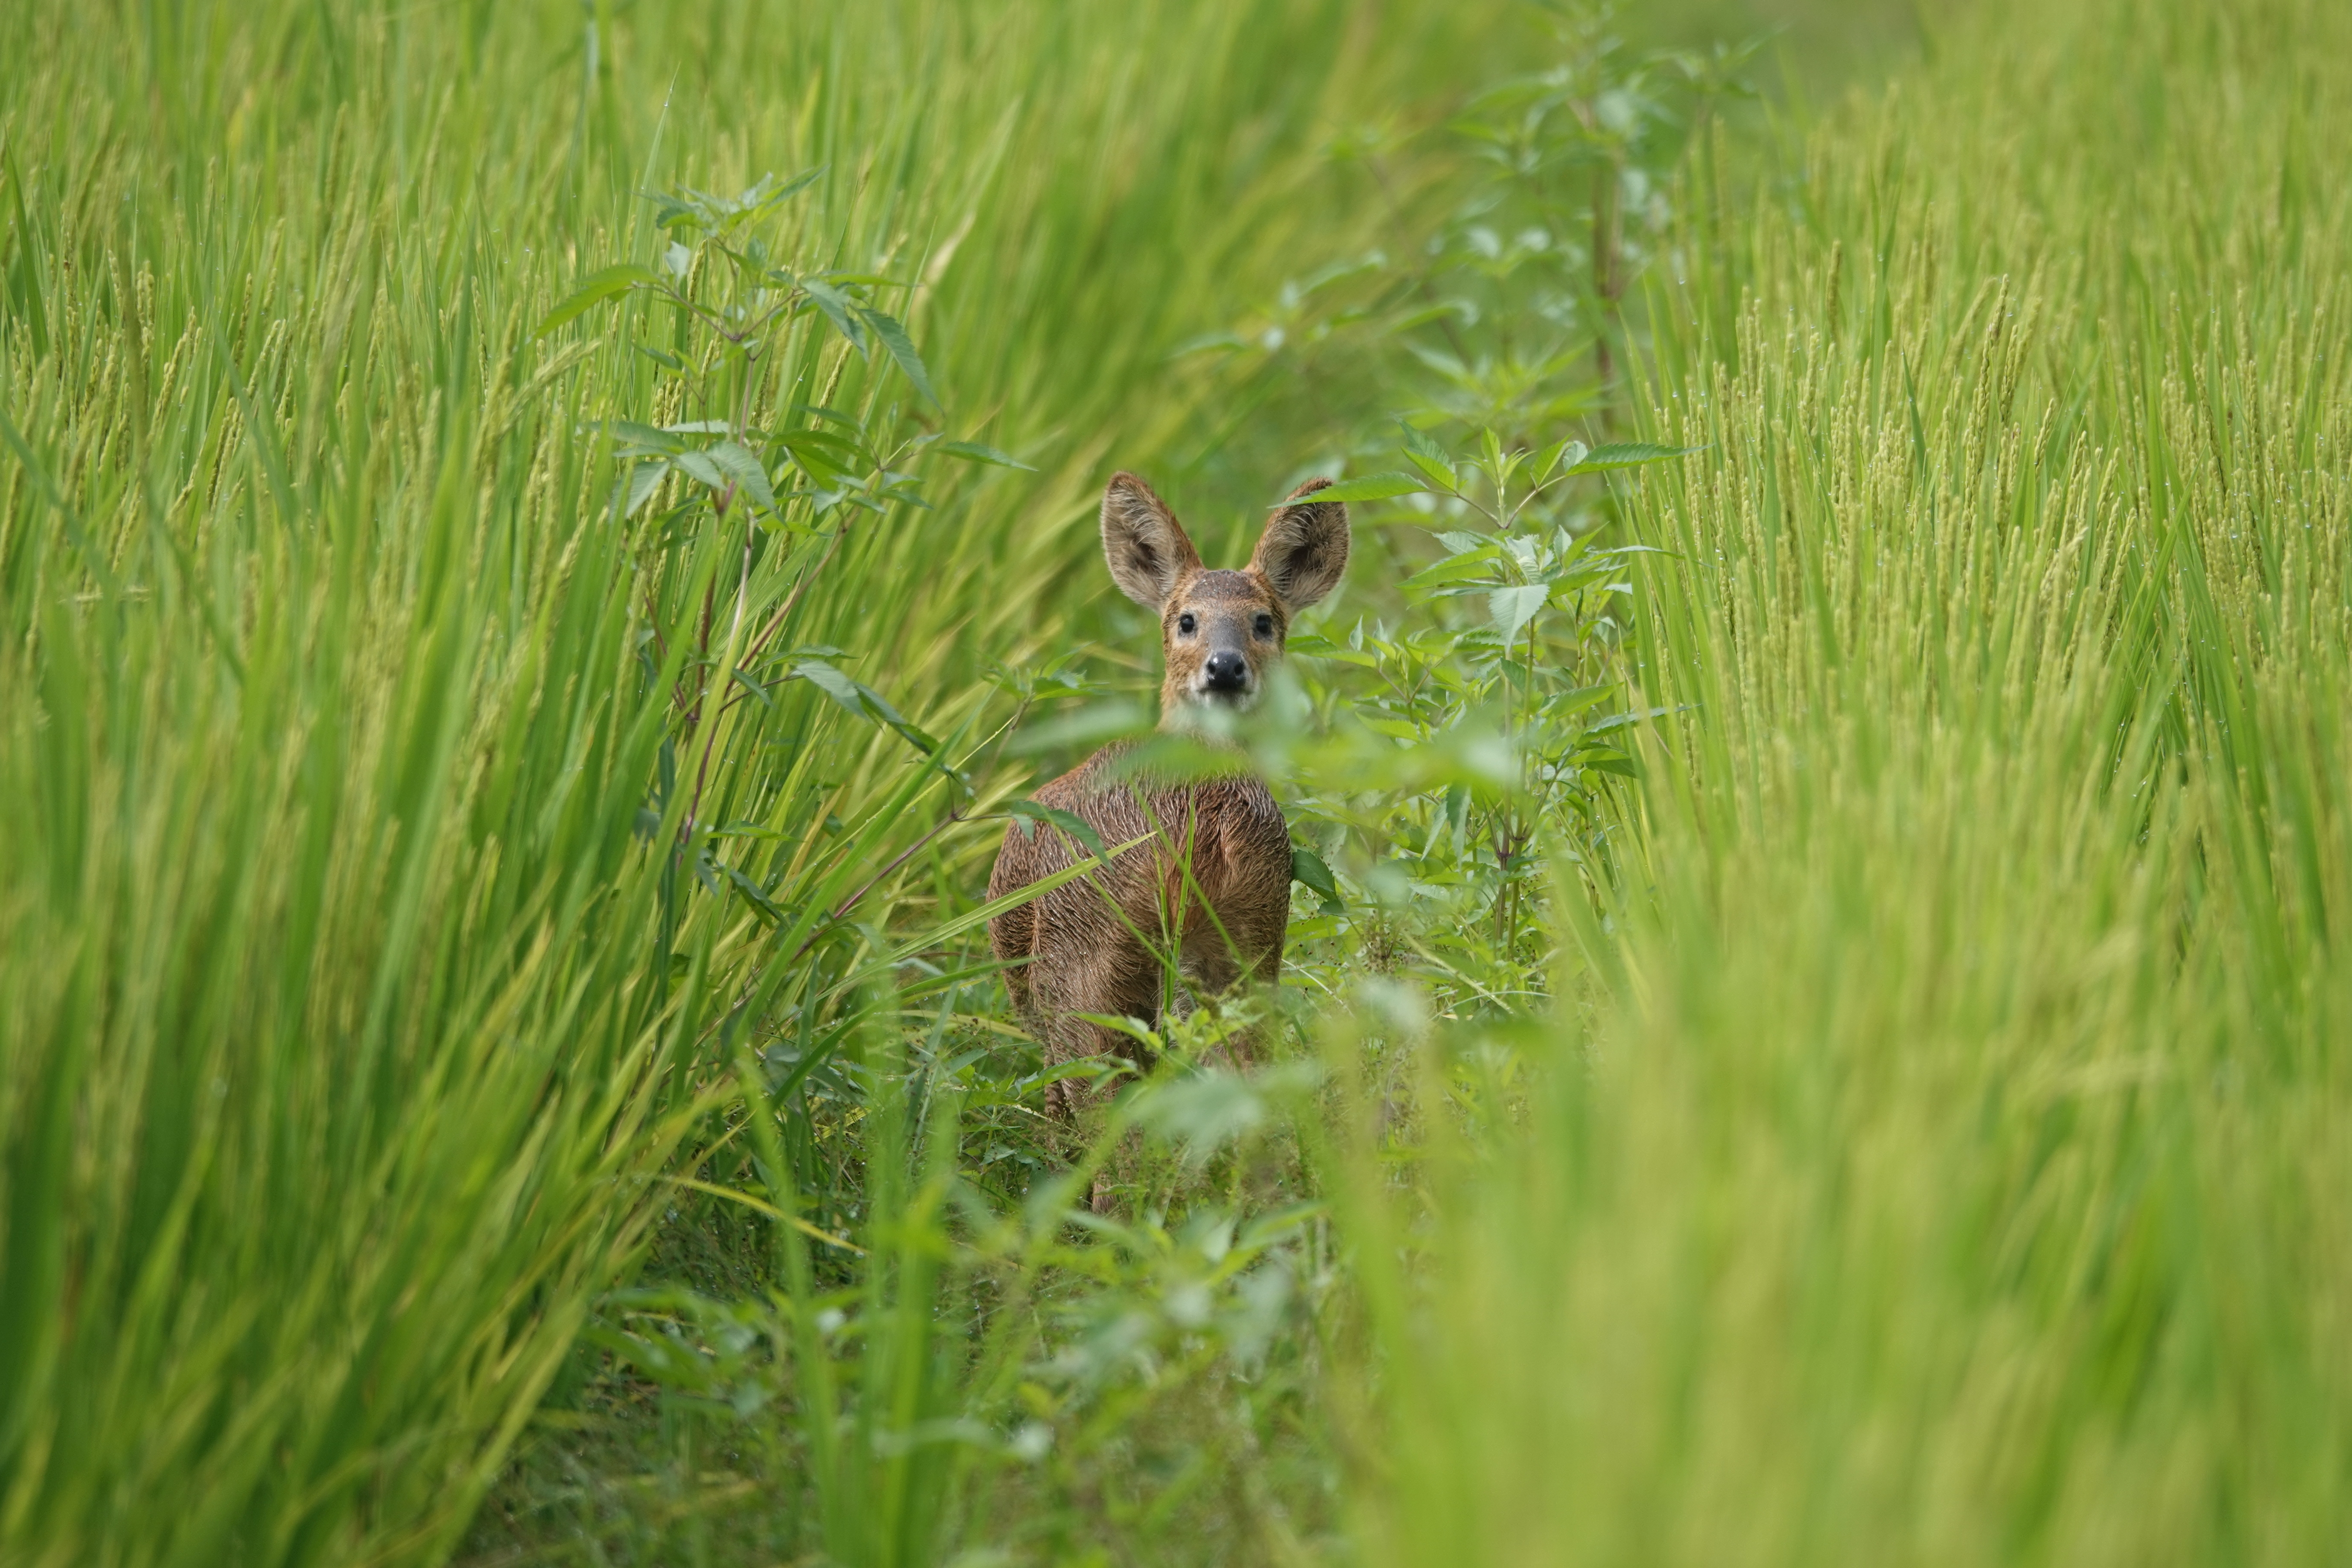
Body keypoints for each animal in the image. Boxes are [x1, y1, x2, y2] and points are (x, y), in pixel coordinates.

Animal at [987, 471, 1348, 1141]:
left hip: (1086, 962)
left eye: (1264, 621)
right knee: (1247, 1075)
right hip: (1254, 938)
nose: (1225, 666)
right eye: (1186, 620)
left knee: (1103, 1105)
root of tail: (1205, 816)